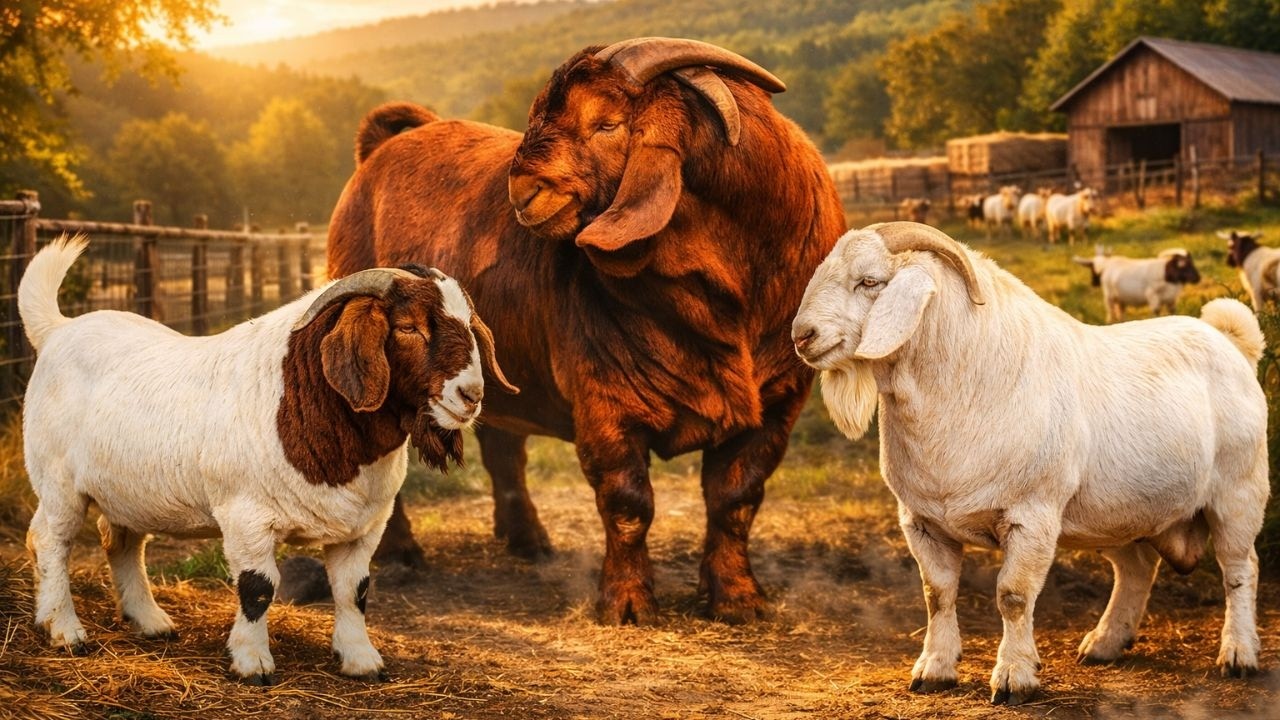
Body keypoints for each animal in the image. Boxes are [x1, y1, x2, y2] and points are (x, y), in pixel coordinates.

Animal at [19, 235, 515, 684]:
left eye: (470, 325)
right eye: (409, 327)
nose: (471, 395)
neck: (298, 397)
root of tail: (57, 330)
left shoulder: (365, 527)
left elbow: (354, 591)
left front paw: (361, 660)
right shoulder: (246, 517)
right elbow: (258, 588)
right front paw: (252, 662)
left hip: (128, 491)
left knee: (120, 542)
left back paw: (151, 621)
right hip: (58, 483)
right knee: (49, 539)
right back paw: (64, 629)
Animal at [326, 37, 846, 625]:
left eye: (606, 123)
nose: (522, 190)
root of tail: (379, 150)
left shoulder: (779, 402)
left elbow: (737, 498)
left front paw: (738, 599)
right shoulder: (605, 399)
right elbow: (627, 501)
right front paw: (627, 604)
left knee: (504, 448)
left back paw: (529, 541)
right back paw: (401, 553)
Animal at [792, 222, 1267, 705]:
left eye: (869, 281)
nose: (802, 336)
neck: (966, 383)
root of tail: (1230, 340)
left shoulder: (1030, 516)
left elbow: (1014, 596)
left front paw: (1014, 677)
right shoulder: (921, 522)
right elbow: (937, 594)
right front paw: (933, 670)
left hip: (1239, 492)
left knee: (1240, 569)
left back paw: (1238, 655)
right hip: (1124, 513)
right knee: (1136, 569)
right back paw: (1105, 643)